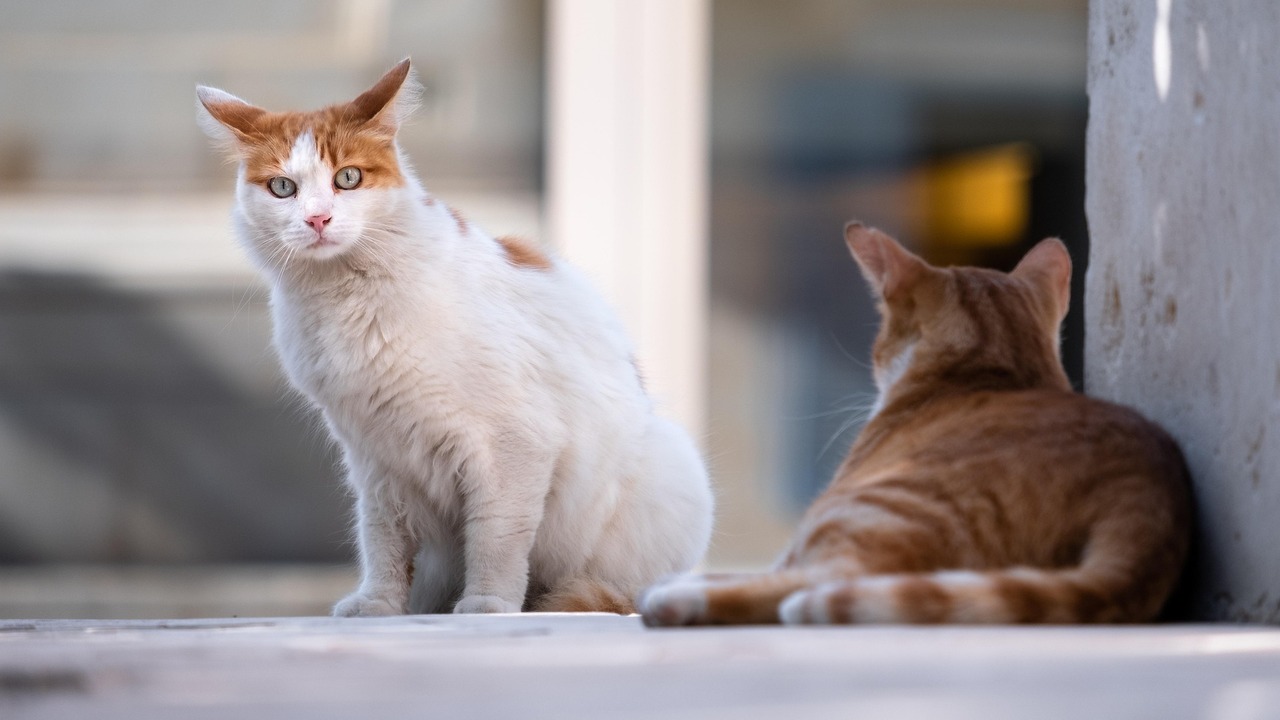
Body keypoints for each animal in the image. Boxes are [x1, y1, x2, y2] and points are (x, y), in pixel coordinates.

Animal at [202, 58, 721, 614]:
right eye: (283, 188)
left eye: (348, 178)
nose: (318, 219)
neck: (345, 296)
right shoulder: (374, 459)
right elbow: (381, 541)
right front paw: (380, 603)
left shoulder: (512, 446)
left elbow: (495, 537)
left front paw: (488, 604)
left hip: (664, 474)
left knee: (614, 591)